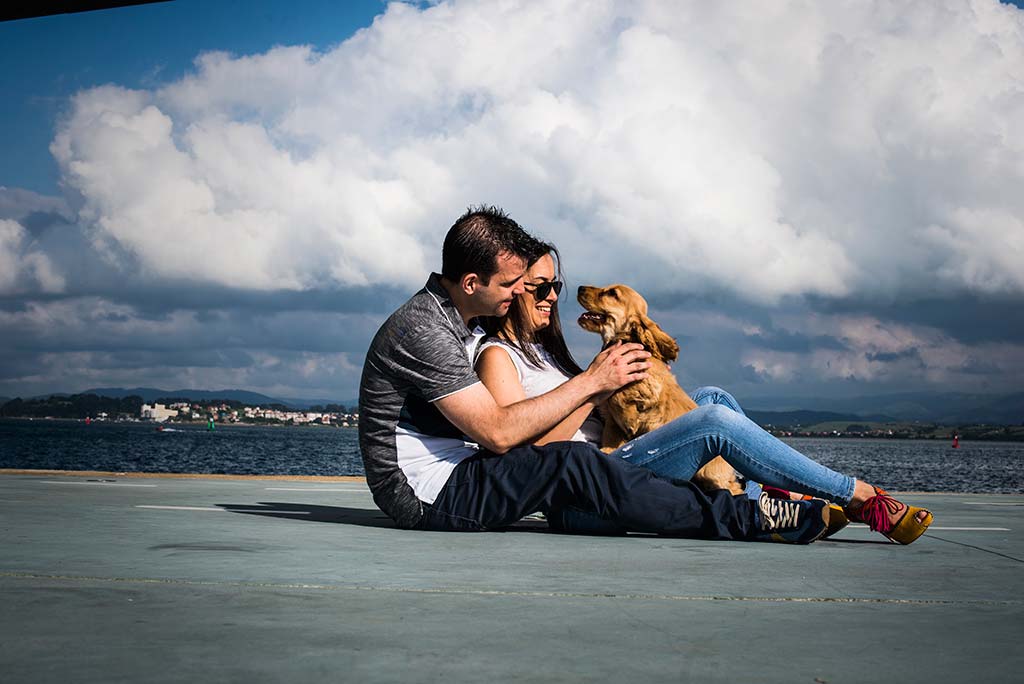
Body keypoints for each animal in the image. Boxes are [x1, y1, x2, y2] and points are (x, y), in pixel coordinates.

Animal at [577, 284, 745, 497]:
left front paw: (629, 420)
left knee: (734, 490)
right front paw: (607, 450)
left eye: (612, 293)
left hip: (712, 475)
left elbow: (620, 395)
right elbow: (611, 433)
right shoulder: (611, 424)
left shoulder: (649, 385)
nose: (580, 288)